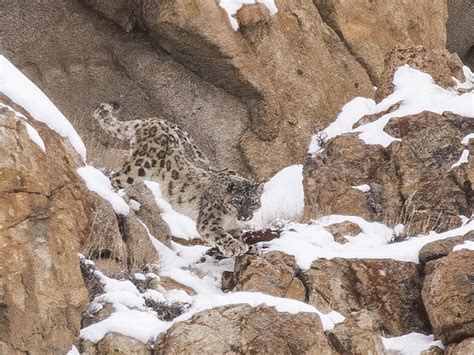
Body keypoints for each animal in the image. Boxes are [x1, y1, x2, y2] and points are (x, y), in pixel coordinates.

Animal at [92, 101, 262, 258]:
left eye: (253, 202)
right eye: (238, 201)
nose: (246, 216)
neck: (231, 217)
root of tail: (151, 120)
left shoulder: (233, 226)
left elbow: (238, 235)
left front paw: (249, 247)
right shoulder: (209, 221)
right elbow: (221, 235)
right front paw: (236, 247)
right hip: (140, 166)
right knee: (115, 177)